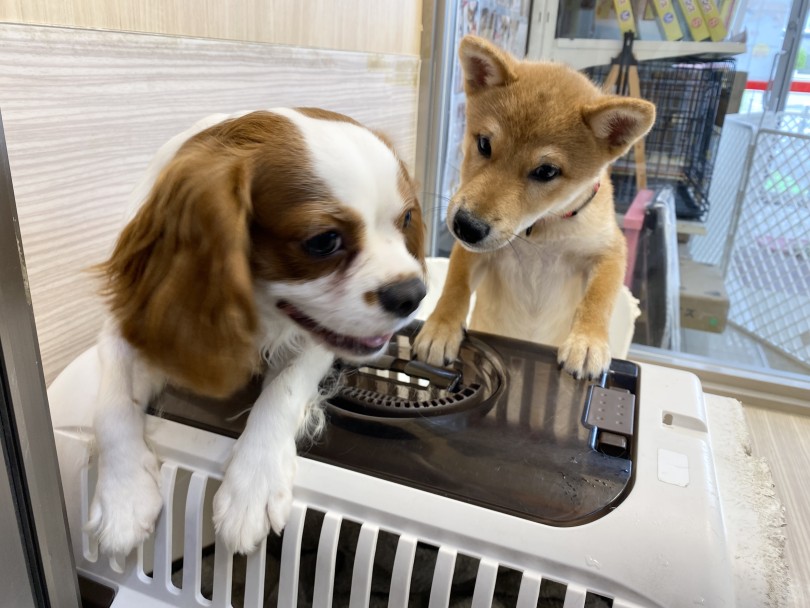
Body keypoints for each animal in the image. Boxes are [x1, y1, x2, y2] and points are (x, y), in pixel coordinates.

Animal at [88, 108, 426, 556]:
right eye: (323, 241)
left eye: (406, 220)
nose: (413, 294)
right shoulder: (134, 316)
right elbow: (109, 405)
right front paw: (122, 496)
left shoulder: (319, 337)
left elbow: (283, 390)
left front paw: (252, 484)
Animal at [414, 35, 652, 378]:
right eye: (484, 143)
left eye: (546, 171)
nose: (466, 226)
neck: (539, 233)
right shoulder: (473, 253)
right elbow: (455, 286)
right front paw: (440, 328)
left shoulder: (610, 249)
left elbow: (599, 297)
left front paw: (588, 341)